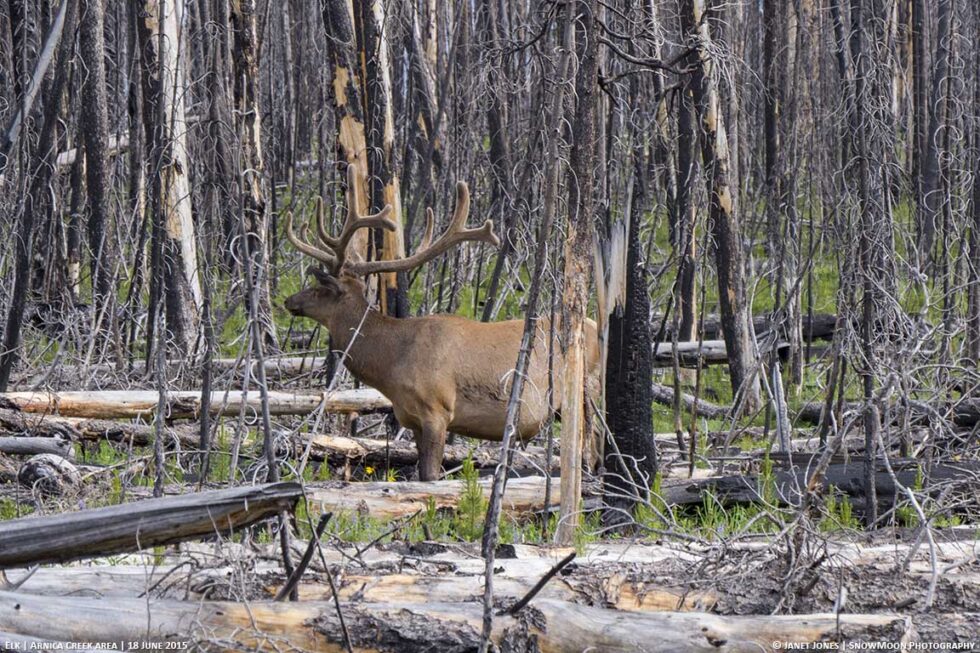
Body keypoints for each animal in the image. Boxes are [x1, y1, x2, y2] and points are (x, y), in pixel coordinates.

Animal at [286, 169, 596, 478]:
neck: (391, 362)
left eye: (320, 287)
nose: (289, 300)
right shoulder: (411, 418)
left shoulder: (437, 409)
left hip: (586, 394)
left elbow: (431, 476)